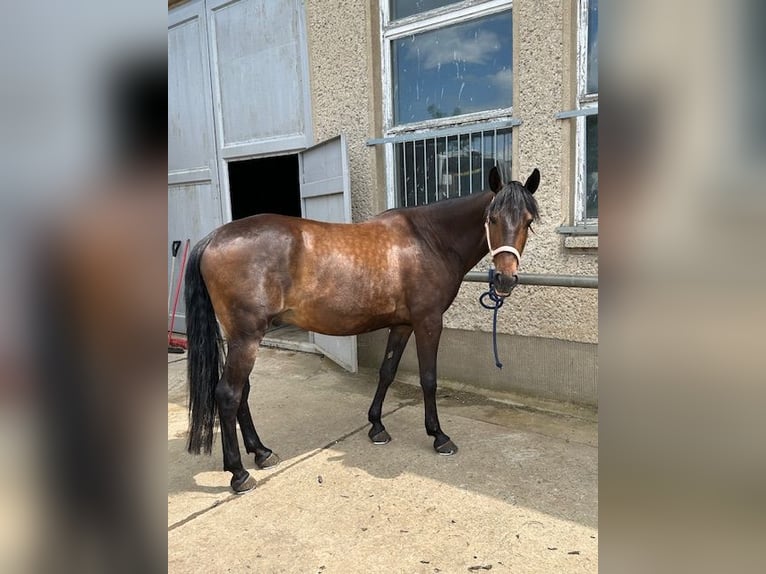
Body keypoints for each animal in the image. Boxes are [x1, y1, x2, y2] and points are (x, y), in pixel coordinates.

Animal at [184, 168, 540, 496]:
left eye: (527, 221)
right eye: (492, 218)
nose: (505, 280)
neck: (429, 240)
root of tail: (213, 238)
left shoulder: (402, 324)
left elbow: (387, 372)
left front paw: (377, 426)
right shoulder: (428, 322)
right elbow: (428, 379)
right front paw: (439, 436)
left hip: (241, 338)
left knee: (242, 393)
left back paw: (261, 452)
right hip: (246, 338)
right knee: (228, 395)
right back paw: (239, 473)